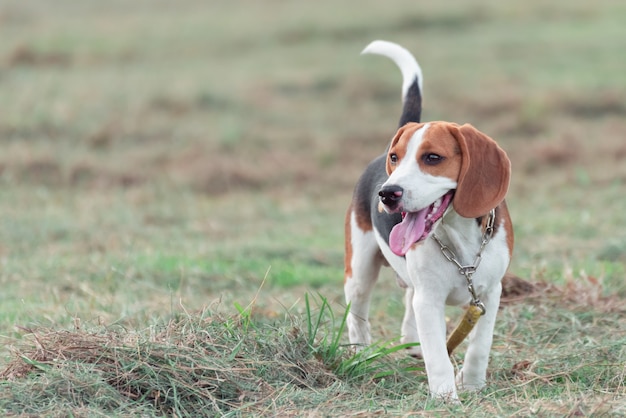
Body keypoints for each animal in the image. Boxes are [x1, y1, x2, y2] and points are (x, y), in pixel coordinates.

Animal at [342, 40, 512, 400]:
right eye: (396, 159)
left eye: (433, 158)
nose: (387, 193)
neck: (458, 239)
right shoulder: (430, 301)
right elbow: (438, 356)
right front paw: (447, 398)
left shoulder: (490, 293)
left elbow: (480, 346)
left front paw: (472, 384)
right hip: (359, 270)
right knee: (358, 313)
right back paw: (359, 354)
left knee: (408, 297)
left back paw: (410, 343)